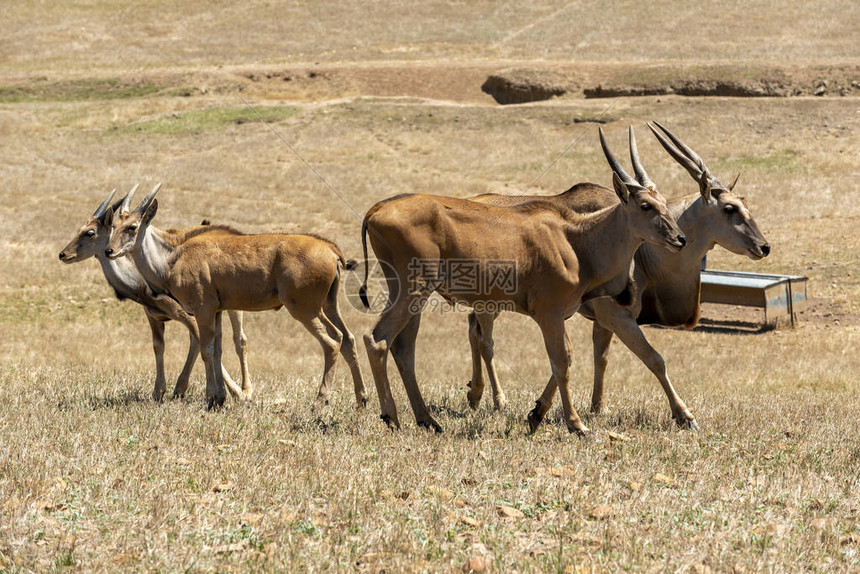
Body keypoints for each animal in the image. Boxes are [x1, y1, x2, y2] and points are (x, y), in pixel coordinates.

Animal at [58, 187, 249, 402]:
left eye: (90, 232)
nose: (63, 254)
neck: (141, 283)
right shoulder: (154, 317)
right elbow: (160, 346)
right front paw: (162, 391)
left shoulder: (189, 314)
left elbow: (201, 343)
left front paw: (234, 392)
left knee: (240, 339)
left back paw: (246, 389)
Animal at [104, 187, 366, 412]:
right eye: (113, 225)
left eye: (132, 226)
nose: (108, 251)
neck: (173, 258)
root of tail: (331, 249)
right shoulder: (218, 311)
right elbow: (218, 349)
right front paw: (219, 398)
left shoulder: (203, 309)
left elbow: (207, 349)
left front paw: (212, 398)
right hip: (328, 305)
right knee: (348, 338)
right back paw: (361, 399)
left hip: (304, 308)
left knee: (332, 341)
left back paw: (319, 402)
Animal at [466, 122, 768, 432]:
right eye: (729, 208)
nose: (764, 247)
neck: (642, 252)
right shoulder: (616, 317)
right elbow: (654, 359)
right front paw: (685, 415)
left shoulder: (596, 318)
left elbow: (593, 357)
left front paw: (567, 408)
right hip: (490, 303)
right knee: (485, 339)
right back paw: (497, 401)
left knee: (473, 329)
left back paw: (475, 394)